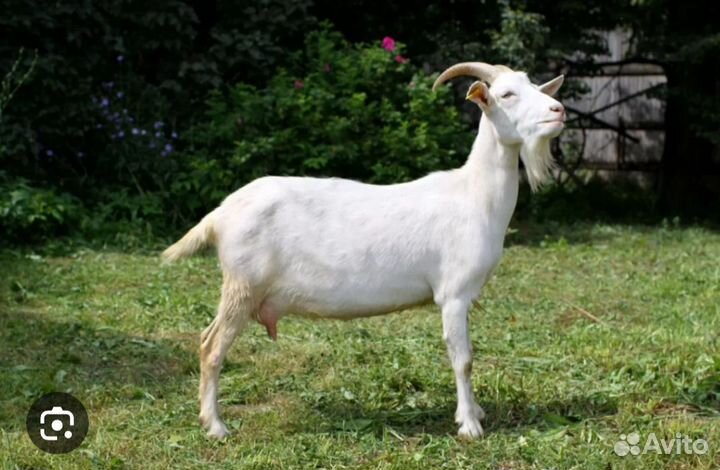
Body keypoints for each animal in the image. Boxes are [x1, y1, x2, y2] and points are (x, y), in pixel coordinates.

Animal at [163, 62, 566, 439]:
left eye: (536, 86)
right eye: (507, 94)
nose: (559, 110)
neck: (473, 195)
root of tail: (220, 214)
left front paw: (477, 412)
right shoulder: (453, 294)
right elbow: (463, 359)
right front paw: (469, 425)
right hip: (243, 285)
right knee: (212, 347)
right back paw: (216, 426)